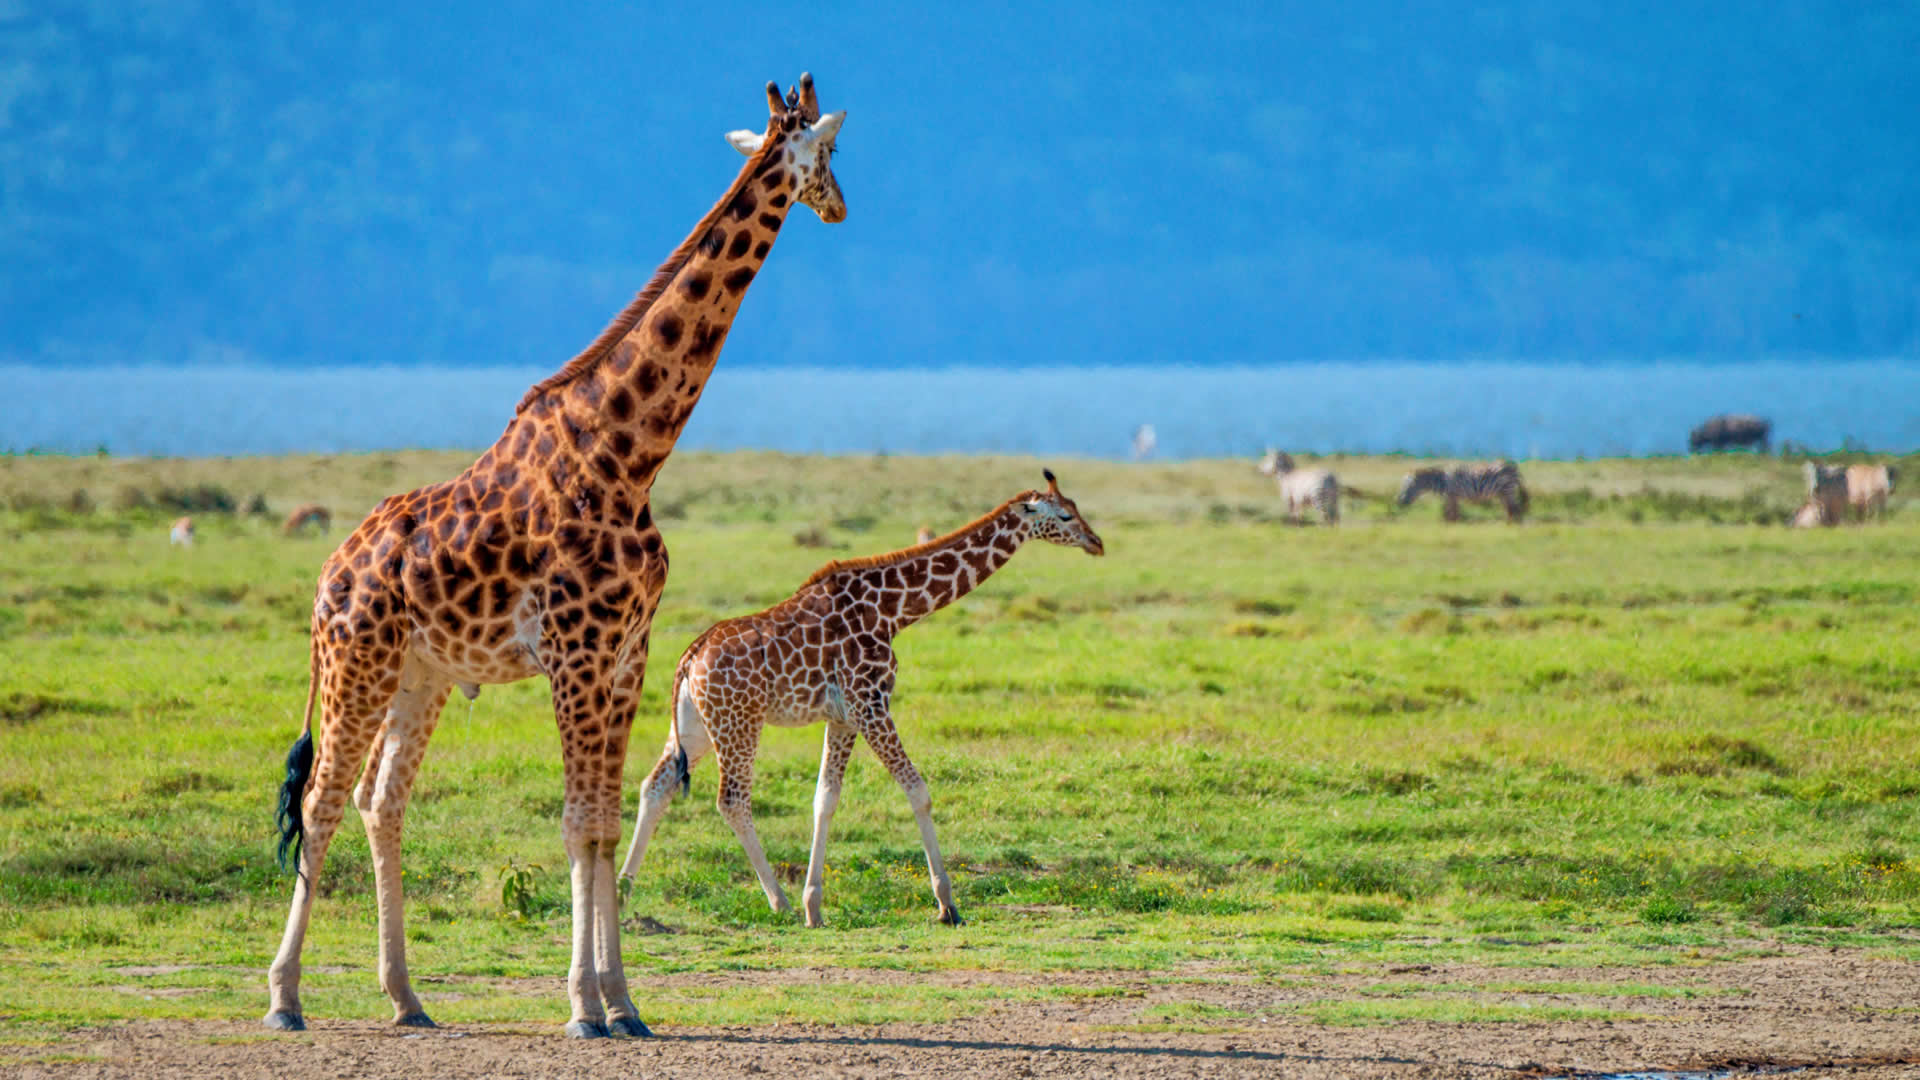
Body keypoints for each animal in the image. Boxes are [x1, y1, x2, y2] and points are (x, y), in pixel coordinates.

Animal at [264, 74, 847, 1040]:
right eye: (830, 151)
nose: (840, 205)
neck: (629, 455)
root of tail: (326, 574)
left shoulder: (625, 657)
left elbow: (605, 823)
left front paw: (625, 1004)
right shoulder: (575, 655)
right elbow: (577, 825)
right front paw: (582, 1008)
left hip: (421, 674)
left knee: (381, 803)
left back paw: (407, 997)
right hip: (357, 664)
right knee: (320, 802)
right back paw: (285, 997)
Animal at [618, 470, 1104, 928]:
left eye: (1078, 509)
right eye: (1064, 516)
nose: (1096, 543)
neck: (894, 611)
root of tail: (688, 658)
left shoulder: (844, 716)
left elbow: (824, 799)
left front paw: (815, 906)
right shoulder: (871, 704)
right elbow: (918, 790)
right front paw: (947, 904)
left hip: (696, 726)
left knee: (655, 785)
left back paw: (623, 892)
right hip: (738, 723)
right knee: (732, 800)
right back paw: (778, 901)